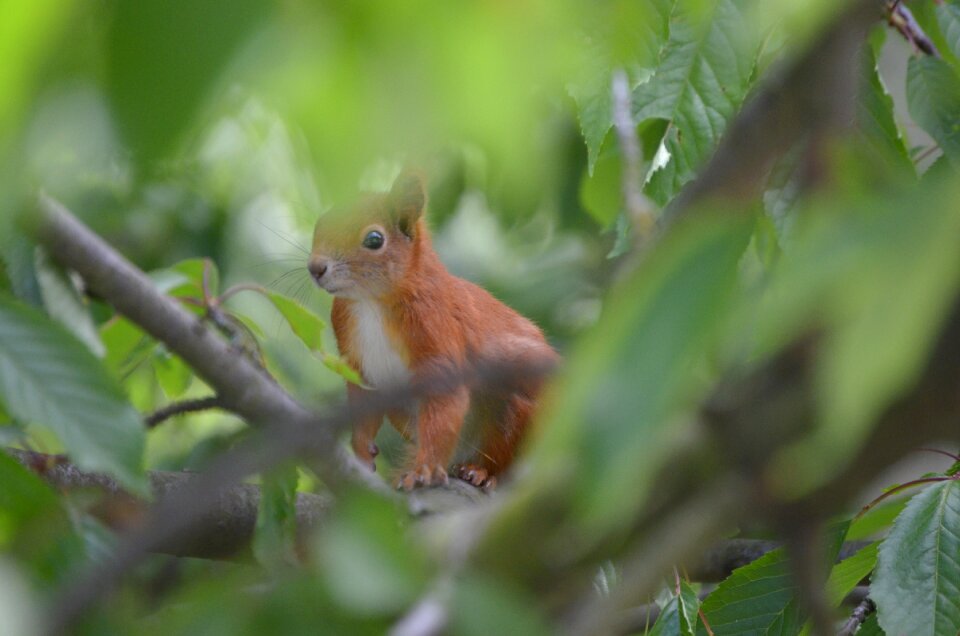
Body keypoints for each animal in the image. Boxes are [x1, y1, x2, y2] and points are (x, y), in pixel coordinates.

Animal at [308, 171, 560, 490]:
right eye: (321, 222)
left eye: (374, 239)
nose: (315, 267)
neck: (371, 302)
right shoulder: (356, 358)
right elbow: (363, 402)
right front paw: (362, 452)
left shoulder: (437, 329)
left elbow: (445, 401)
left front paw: (423, 470)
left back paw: (480, 471)